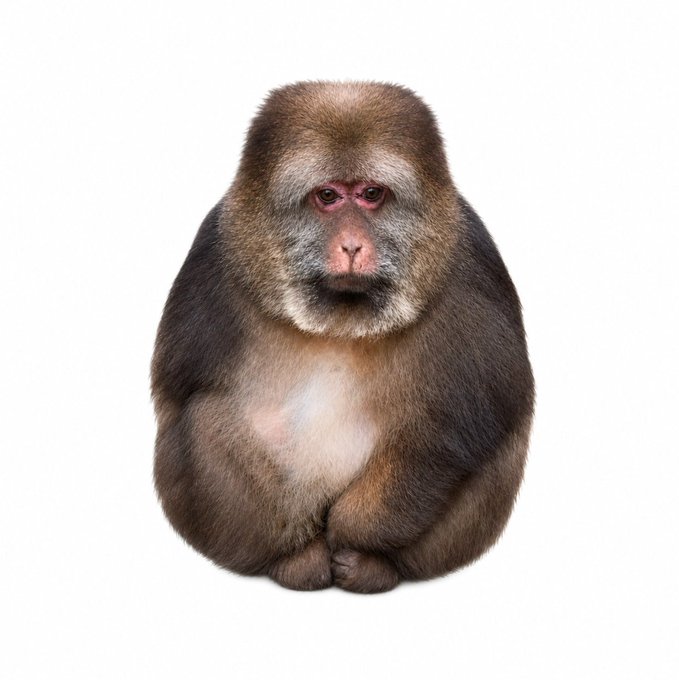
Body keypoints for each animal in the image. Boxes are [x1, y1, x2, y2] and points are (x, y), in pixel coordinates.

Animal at [151, 81, 535, 594]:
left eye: (371, 194)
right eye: (328, 196)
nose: (352, 245)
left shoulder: (471, 260)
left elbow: (466, 419)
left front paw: (354, 532)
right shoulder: (215, 253)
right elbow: (180, 394)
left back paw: (376, 566)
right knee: (204, 417)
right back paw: (295, 559)